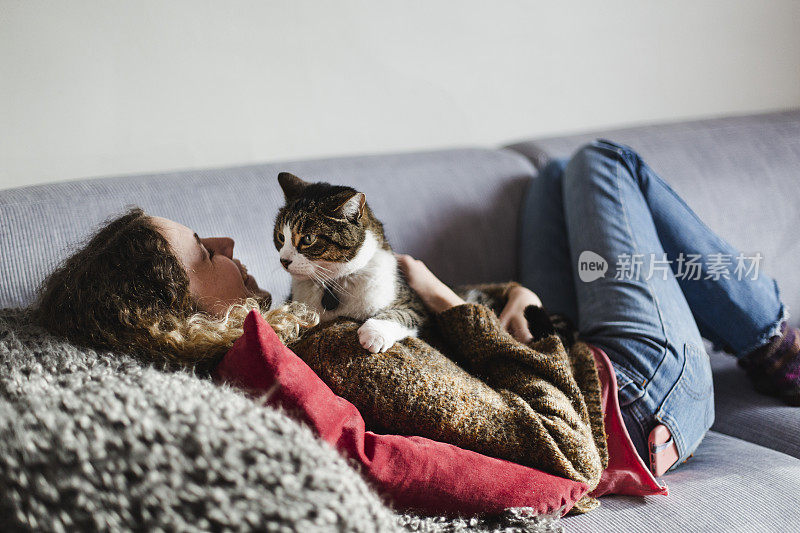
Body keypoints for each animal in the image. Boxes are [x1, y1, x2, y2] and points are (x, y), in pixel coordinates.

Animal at [276, 172, 428, 352]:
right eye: (281, 236)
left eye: (308, 239)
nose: (284, 260)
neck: (334, 282)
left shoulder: (416, 304)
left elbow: (405, 314)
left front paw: (374, 333)